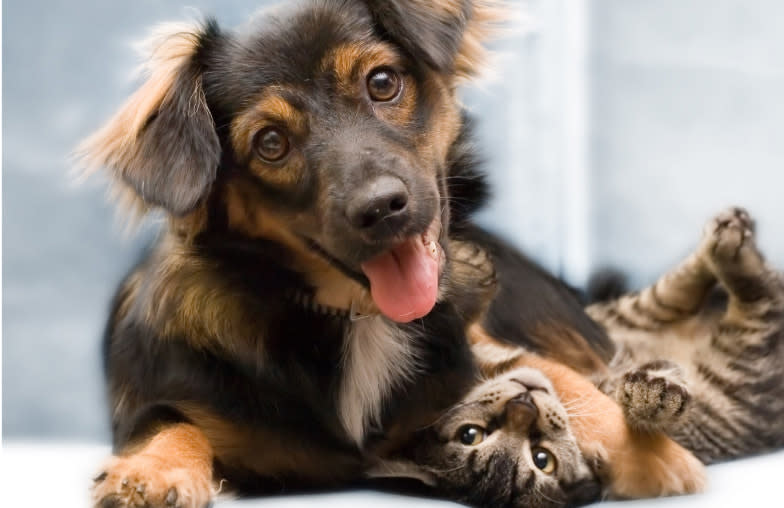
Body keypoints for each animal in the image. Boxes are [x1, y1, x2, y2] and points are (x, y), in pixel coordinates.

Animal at [79, 1, 620, 506]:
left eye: (382, 83)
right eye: (271, 142)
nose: (380, 208)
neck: (359, 317)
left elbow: (558, 381)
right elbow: (167, 421)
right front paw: (152, 471)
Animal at [376, 208, 780, 506]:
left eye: (471, 434)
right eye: (541, 460)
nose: (522, 405)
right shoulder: (737, 386)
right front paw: (653, 394)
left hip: (627, 318)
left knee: (672, 292)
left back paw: (725, 233)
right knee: (754, 293)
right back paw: (731, 246)